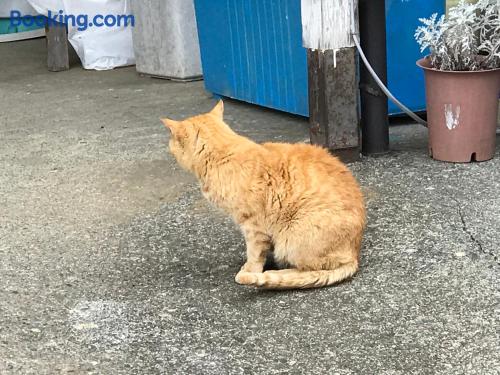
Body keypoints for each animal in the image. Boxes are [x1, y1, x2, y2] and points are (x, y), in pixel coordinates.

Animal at [162, 101, 366, 290]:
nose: (168, 148)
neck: (223, 154)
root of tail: (354, 254)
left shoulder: (253, 225)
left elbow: (254, 253)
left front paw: (250, 269)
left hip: (292, 238)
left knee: (312, 270)